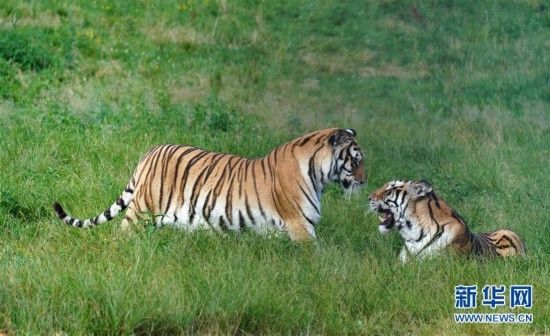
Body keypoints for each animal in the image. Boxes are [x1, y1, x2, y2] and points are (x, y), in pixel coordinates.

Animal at [54, 127, 368, 240]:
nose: (365, 182)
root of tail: (150, 152)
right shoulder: (301, 226)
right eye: (355, 160)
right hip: (142, 208)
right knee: (123, 232)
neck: (318, 174)